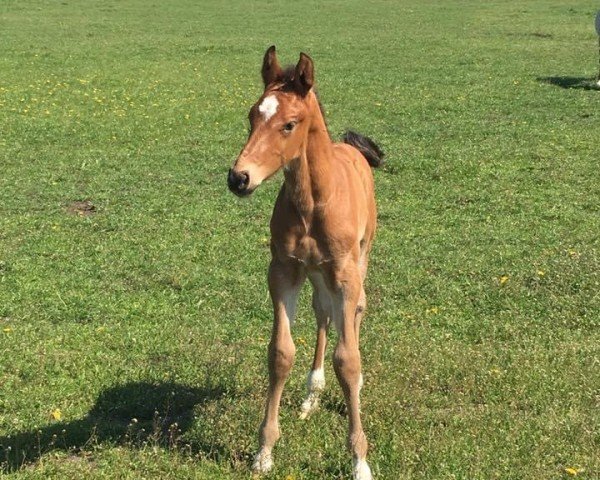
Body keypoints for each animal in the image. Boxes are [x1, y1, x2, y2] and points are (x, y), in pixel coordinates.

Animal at [227, 46, 382, 480]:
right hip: (316, 274)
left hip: (359, 258)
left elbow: (348, 360)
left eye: (290, 124)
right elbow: (281, 353)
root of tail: (353, 148)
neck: (313, 202)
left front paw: (359, 460)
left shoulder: (344, 273)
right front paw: (264, 451)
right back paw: (312, 393)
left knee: (355, 311)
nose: (238, 178)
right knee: (323, 313)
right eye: (252, 115)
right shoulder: (283, 270)